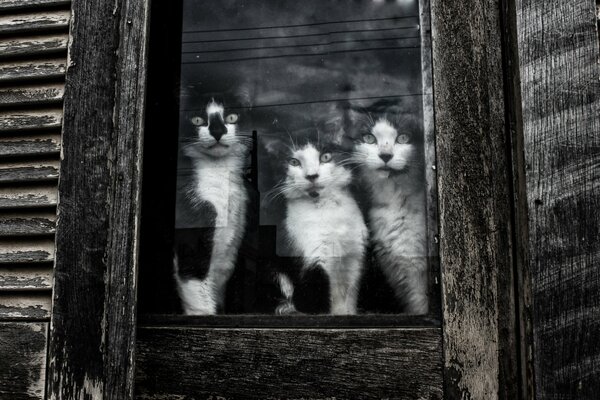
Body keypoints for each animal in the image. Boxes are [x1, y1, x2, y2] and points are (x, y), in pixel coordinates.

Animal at [264, 129, 368, 316]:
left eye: (325, 157)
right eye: (294, 162)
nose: (312, 175)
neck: (326, 208)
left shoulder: (354, 255)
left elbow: (349, 295)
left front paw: (346, 312)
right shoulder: (312, 256)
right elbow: (316, 298)